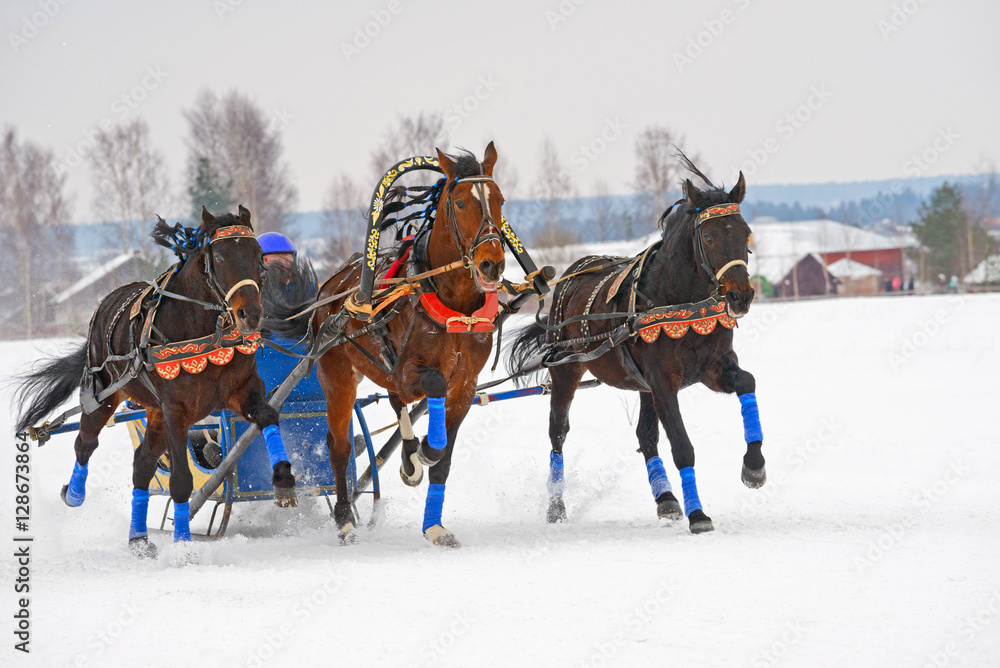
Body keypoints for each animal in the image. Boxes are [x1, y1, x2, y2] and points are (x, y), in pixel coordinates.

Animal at [13, 206, 294, 556]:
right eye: (220, 257)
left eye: (257, 254)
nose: (251, 315)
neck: (204, 332)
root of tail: (108, 301)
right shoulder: (177, 410)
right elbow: (181, 481)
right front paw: (184, 545)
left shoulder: (242, 391)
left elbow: (268, 416)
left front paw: (283, 480)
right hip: (104, 396)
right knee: (86, 443)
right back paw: (75, 494)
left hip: (155, 413)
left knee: (143, 463)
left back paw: (138, 538)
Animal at [266, 144, 504, 544]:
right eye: (459, 203)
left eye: (500, 199)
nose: (492, 264)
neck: (452, 303)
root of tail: (329, 291)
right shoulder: (411, 371)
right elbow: (433, 401)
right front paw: (425, 450)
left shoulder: (465, 387)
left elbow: (444, 461)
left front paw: (434, 525)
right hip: (338, 377)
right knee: (340, 446)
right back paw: (345, 519)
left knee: (395, 402)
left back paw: (408, 458)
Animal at [508, 164, 764, 536]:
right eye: (709, 238)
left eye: (746, 234)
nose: (740, 296)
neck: (679, 301)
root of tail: (570, 274)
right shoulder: (662, 380)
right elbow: (682, 447)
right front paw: (698, 514)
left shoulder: (713, 366)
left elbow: (747, 382)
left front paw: (754, 466)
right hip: (566, 368)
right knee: (558, 433)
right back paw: (556, 507)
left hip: (641, 385)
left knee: (646, 434)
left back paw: (666, 498)